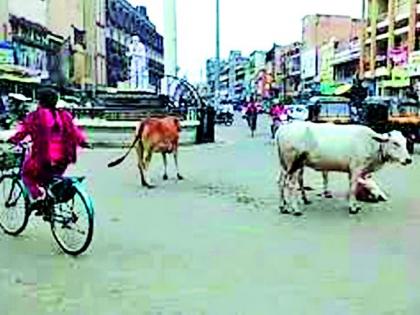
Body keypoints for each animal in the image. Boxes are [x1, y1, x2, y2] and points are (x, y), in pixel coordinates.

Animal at [276, 122, 410, 216]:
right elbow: (353, 188)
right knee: (290, 185)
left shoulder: (353, 172)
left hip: (284, 165)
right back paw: (295, 209)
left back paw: (283, 206)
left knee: (281, 182)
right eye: (395, 143)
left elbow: (352, 188)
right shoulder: (356, 170)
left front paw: (355, 205)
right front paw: (353, 208)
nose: (408, 160)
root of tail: (283, 128)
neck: (372, 144)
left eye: (405, 142)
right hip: (294, 165)